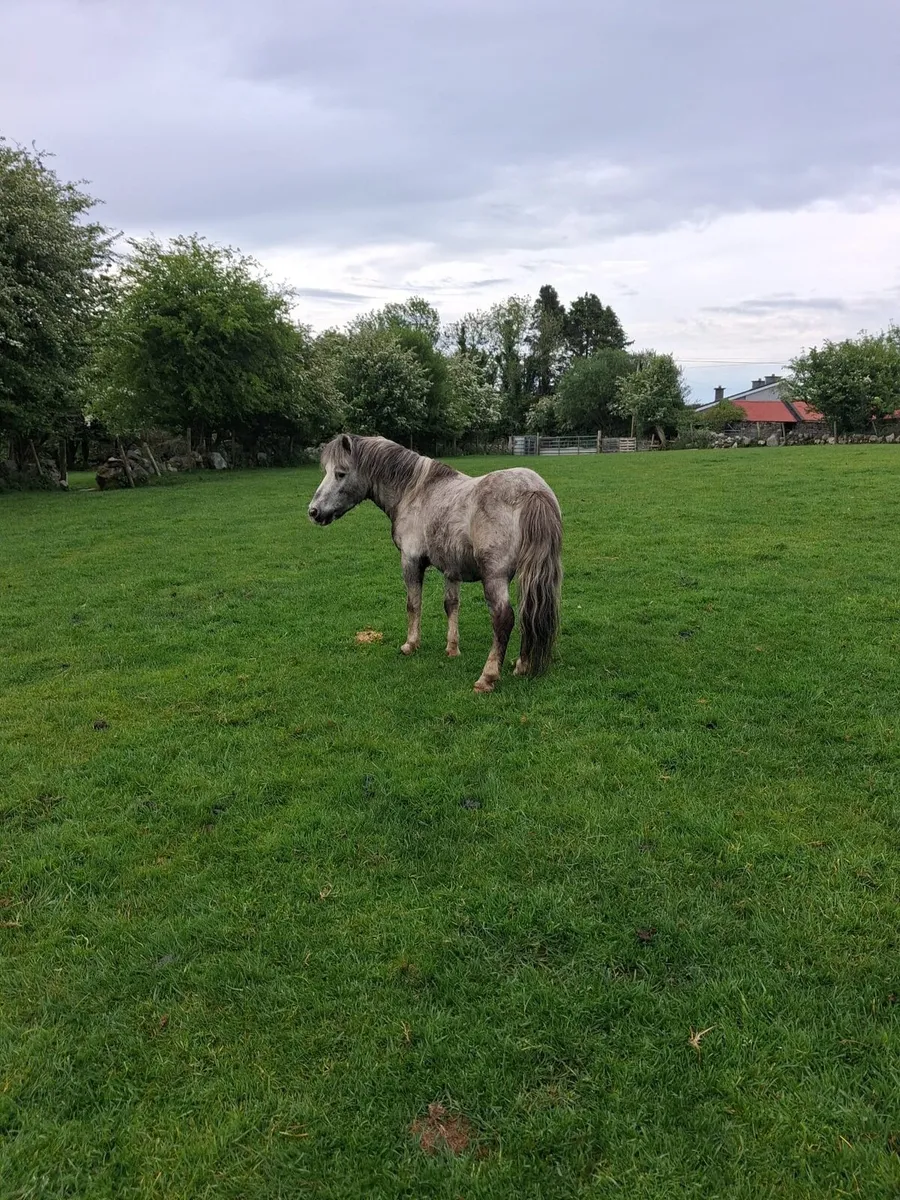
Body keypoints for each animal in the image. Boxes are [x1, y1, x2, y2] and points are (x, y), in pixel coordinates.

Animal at [307, 434, 562, 693]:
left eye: (340, 473)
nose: (314, 512)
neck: (415, 491)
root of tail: (533, 490)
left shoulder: (410, 561)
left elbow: (413, 604)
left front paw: (410, 644)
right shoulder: (451, 569)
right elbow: (451, 605)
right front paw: (452, 649)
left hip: (495, 577)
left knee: (504, 619)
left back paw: (487, 677)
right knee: (529, 611)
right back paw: (522, 665)